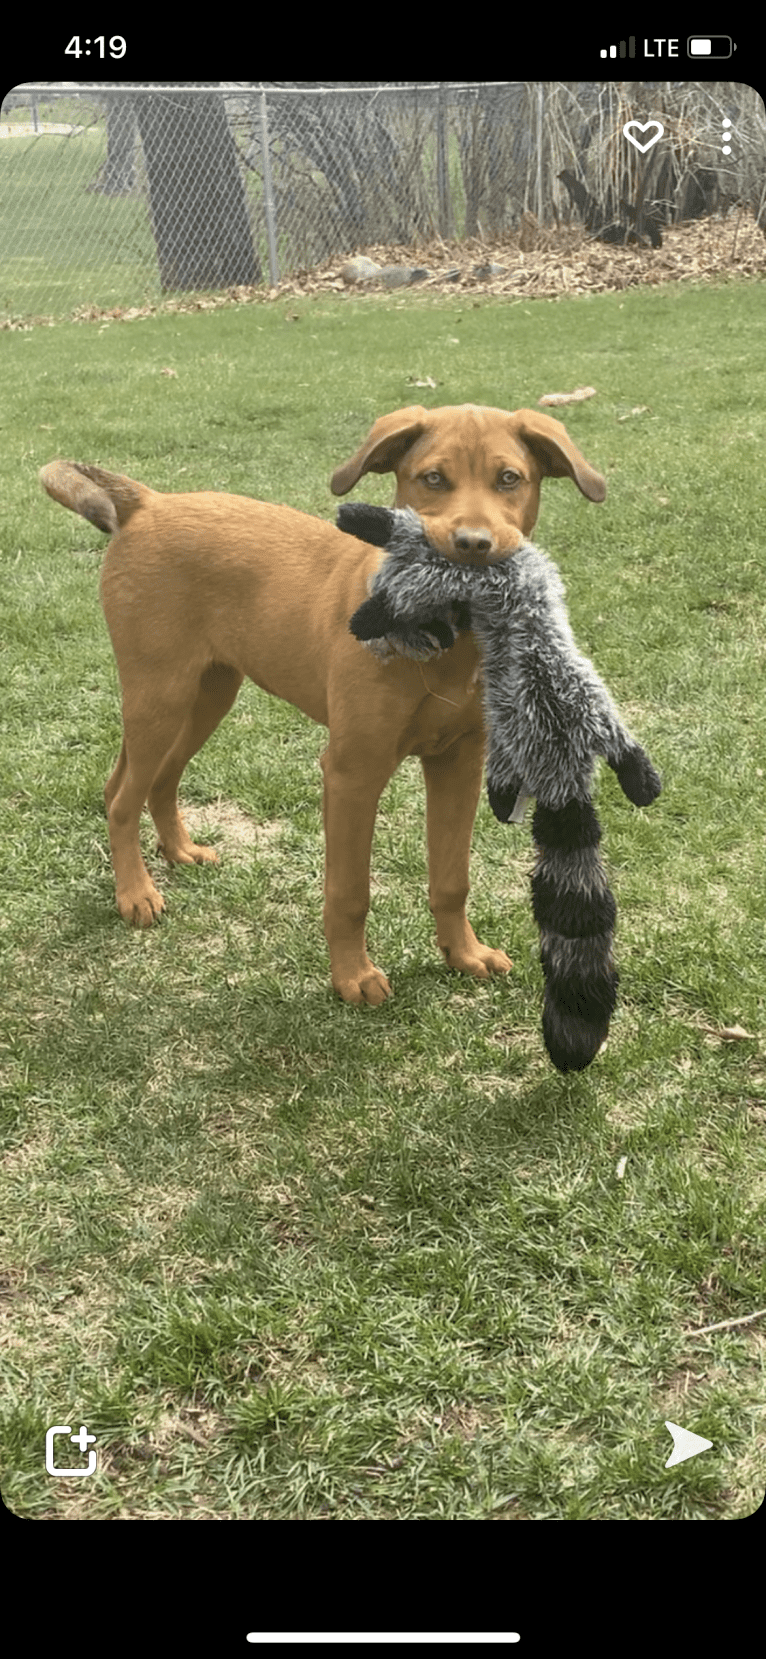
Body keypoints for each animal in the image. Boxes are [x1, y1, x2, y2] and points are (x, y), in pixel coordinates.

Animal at [40, 411, 603, 1008]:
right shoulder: (352, 772)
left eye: (509, 479)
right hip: (160, 695)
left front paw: (464, 955)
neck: (443, 639)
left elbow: (452, 878)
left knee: (153, 780)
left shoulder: (459, 762)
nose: (472, 544)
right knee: (123, 797)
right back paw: (136, 893)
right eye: (432, 479)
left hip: (208, 693)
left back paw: (180, 852)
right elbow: (349, 891)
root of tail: (148, 502)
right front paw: (352, 975)